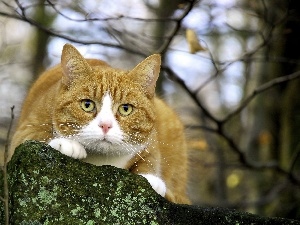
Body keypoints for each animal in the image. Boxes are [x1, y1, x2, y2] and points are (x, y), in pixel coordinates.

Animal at [8, 44, 190, 204]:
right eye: (87, 105)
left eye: (125, 109)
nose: (105, 125)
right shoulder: (25, 131)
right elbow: (37, 136)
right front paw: (67, 144)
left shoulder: (151, 142)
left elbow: (151, 159)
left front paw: (151, 179)